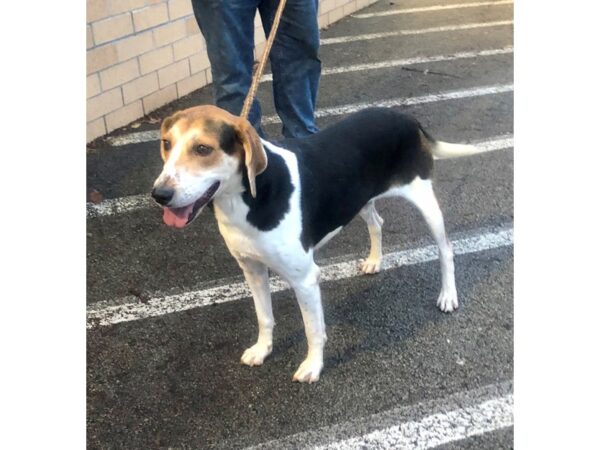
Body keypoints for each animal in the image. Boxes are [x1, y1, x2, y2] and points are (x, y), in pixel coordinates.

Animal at [152, 105, 480, 384]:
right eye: (166, 144)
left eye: (203, 149)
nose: (159, 194)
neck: (247, 198)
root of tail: (406, 117)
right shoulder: (252, 270)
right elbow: (264, 316)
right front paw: (262, 350)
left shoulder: (305, 280)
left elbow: (313, 330)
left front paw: (313, 366)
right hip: (358, 199)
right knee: (377, 223)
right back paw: (375, 261)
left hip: (424, 200)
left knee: (446, 249)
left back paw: (448, 296)